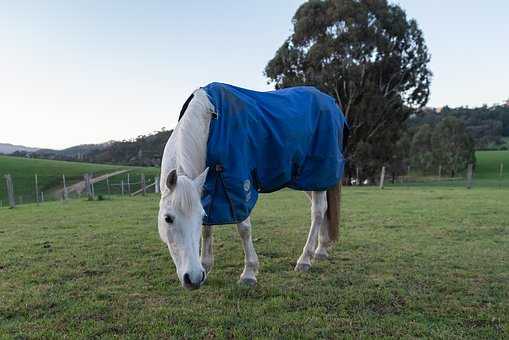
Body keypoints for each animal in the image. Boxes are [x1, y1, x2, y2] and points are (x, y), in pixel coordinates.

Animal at [158, 83, 346, 290]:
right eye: (168, 219)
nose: (193, 278)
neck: (209, 121)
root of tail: (331, 103)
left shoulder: (238, 184)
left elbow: (244, 228)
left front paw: (249, 273)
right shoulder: (210, 188)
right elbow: (208, 228)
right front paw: (206, 265)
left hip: (319, 172)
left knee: (318, 211)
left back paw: (305, 259)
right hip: (310, 179)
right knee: (324, 209)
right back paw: (321, 249)